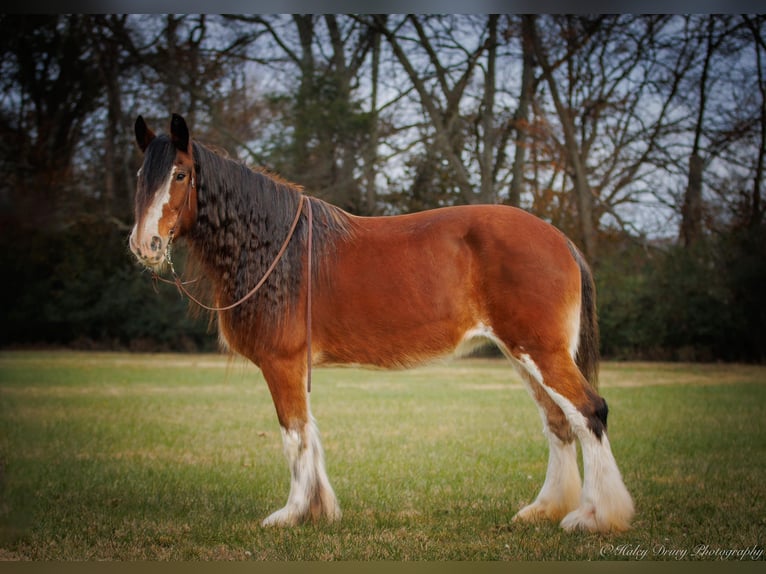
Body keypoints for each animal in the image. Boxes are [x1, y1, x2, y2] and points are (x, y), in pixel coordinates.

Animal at [130, 113, 636, 536]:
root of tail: (559, 239)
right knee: (557, 422)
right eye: (140, 177)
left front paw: (293, 515)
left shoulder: (282, 363)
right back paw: (545, 510)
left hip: (540, 352)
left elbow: (293, 434)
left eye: (180, 174)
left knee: (588, 412)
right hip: (523, 355)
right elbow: (308, 432)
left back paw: (593, 517)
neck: (272, 246)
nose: (144, 244)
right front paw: (318, 510)